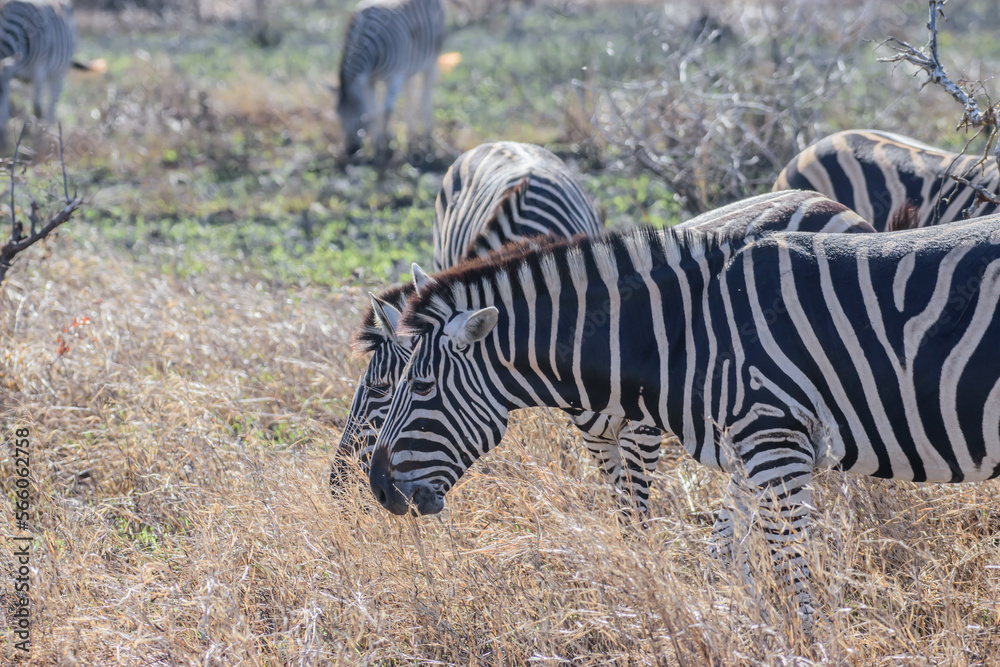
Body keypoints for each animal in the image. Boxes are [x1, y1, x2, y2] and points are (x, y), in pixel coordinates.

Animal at [0, 1, 80, 150]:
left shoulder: (39, 70)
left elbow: (37, 109)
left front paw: (40, 141)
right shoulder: (11, 76)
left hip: (58, 72)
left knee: (51, 105)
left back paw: (50, 135)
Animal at [335, 0, 446, 157]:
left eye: (361, 118)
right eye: (338, 115)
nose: (350, 151)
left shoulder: (395, 76)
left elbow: (386, 111)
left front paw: (387, 146)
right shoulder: (369, 81)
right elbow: (374, 112)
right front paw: (377, 147)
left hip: (430, 61)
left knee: (426, 97)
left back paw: (427, 141)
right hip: (410, 67)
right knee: (410, 99)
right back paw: (411, 139)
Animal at [368, 199, 1000, 631]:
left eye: (419, 386)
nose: (376, 489)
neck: (689, 335)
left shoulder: (774, 437)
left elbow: (789, 560)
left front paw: (807, 640)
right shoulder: (751, 447)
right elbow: (722, 552)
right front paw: (722, 620)